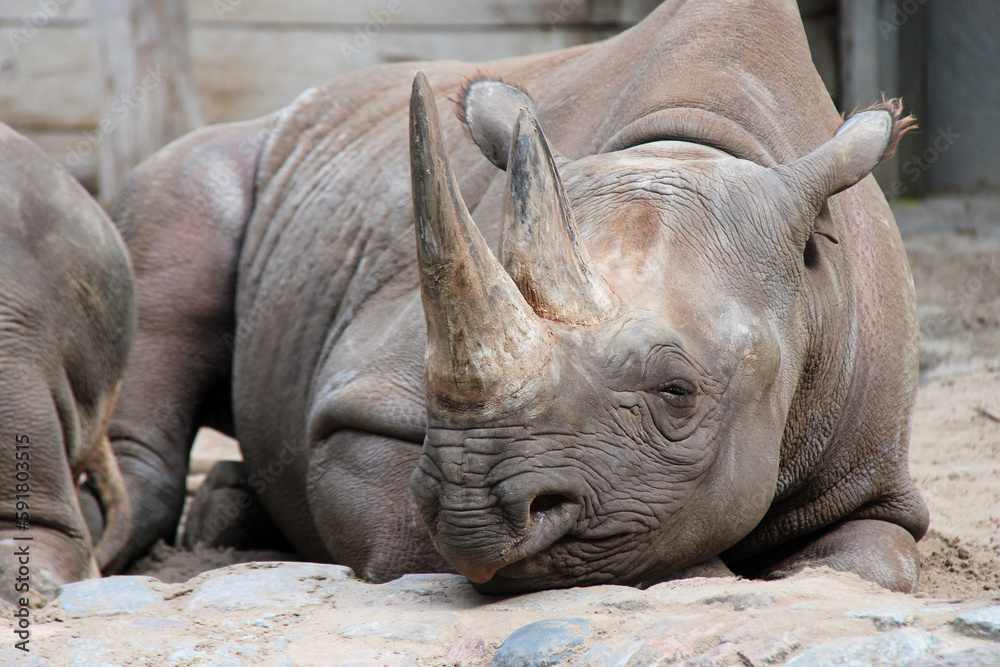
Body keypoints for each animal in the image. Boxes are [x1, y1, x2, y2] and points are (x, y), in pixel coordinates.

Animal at [106, 0, 928, 592]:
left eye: (678, 392)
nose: (472, 506)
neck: (692, 142)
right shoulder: (361, 406)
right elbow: (403, 530)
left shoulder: (873, 477)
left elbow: (871, 561)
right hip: (220, 163)